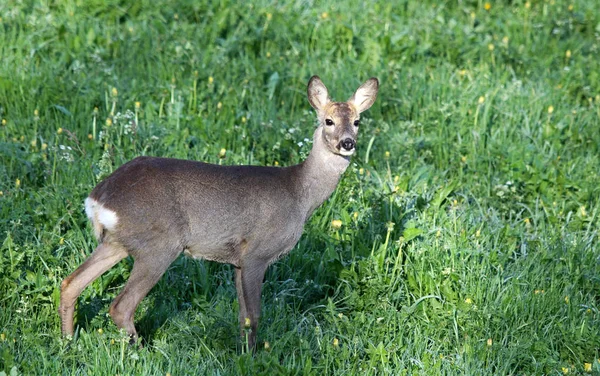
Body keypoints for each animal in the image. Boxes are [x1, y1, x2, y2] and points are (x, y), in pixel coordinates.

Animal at [58, 75, 378, 350]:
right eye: (328, 120)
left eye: (357, 121)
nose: (347, 143)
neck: (300, 195)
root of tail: (98, 198)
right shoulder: (257, 253)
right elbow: (254, 315)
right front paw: (252, 356)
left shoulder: (237, 261)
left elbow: (242, 316)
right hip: (159, 245)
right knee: (120, 305)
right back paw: (139, 351)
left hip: (117, 242)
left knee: (70, 283)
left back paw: (68, 342)